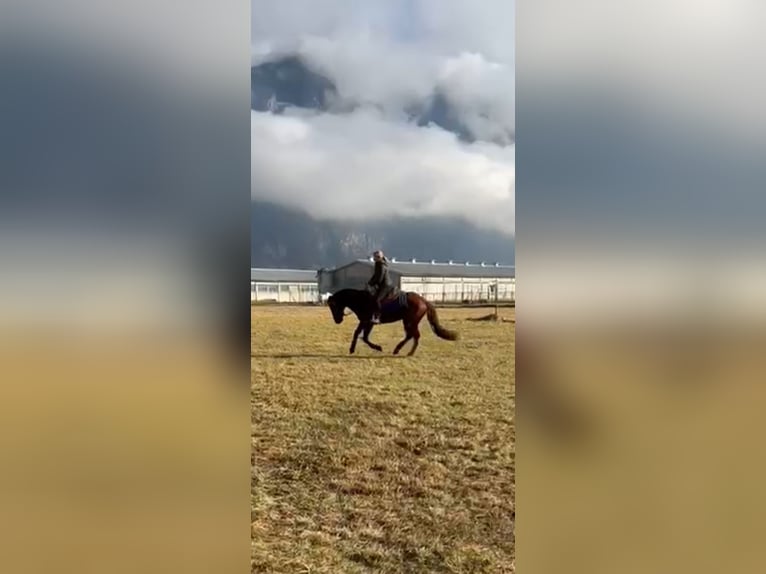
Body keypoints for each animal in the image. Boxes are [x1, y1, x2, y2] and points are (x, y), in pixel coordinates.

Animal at [328, 290, 460, 358]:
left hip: (410, 322)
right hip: (408, 322)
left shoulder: (368, 321)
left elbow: (362, 336)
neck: (362, 300)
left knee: (414, 336)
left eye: (333, 306)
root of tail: (423, 300)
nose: (337, 320)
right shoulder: (365, 322)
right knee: (410, 335)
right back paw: (398, 350)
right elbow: (360, 335)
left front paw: (377, 347)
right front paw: (353, 349)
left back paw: (409, 352)